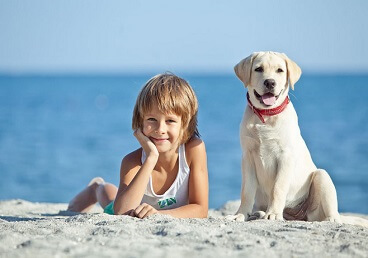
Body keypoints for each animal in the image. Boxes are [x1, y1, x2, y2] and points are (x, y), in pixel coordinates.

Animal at [230, 51, 368, 227]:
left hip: (321, 177)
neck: (266, 116)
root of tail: (298, 216)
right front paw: (240, 215)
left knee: (332, 214)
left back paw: (329, 219)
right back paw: (259, 213)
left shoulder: (285, 156)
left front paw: (273, 214)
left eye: (280, 70)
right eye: (258, 69)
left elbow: (278, 187)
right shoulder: (247, 157)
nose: (270, 82)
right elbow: (246, 191)